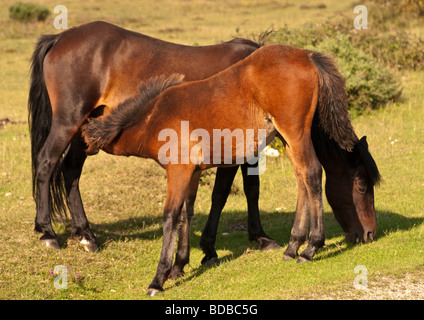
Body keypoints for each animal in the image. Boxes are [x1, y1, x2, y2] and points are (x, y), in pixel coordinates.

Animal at [27, 20, 278, 258]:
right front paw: (211, 245)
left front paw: (261, 237)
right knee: (46, 163)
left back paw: (86, 235)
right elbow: (221, 195)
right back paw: (47, 232)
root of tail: (59, 38)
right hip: (68, 121)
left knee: (71, 170)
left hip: (85, 131)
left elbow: (251, 189)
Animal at [82, 44, 380, 296]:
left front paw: (159, 279)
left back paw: (310, 248)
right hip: (289, 138)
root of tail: (306, 55)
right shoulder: (192, 172)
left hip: (293, 133)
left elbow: (170, 216)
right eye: (363, 185)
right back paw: (293, 246)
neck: (154, 116)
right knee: (302, 179)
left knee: (311, 174)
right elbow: (186, 214)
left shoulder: (178, 170)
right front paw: (179, 266)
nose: (370, 234)